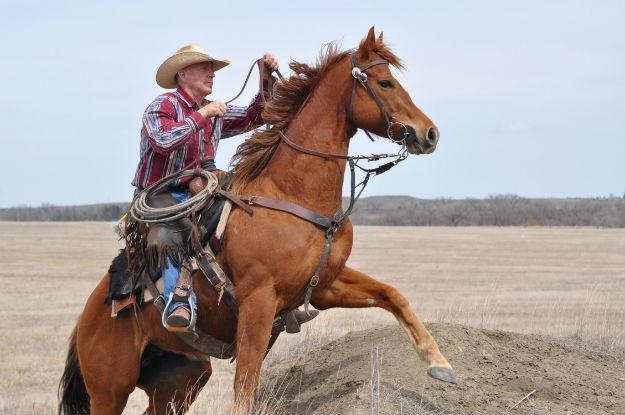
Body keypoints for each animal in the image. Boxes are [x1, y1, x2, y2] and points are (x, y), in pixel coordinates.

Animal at [59, 27, 454, 414]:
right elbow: (246, 386)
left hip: (181, 380)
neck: (293, 193)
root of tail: (88, 315)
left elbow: (392, 295)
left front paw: (439, 364)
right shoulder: (258, 302)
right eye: (385, 82)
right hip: (110, 390)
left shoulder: (323, 286)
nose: (430, 133)